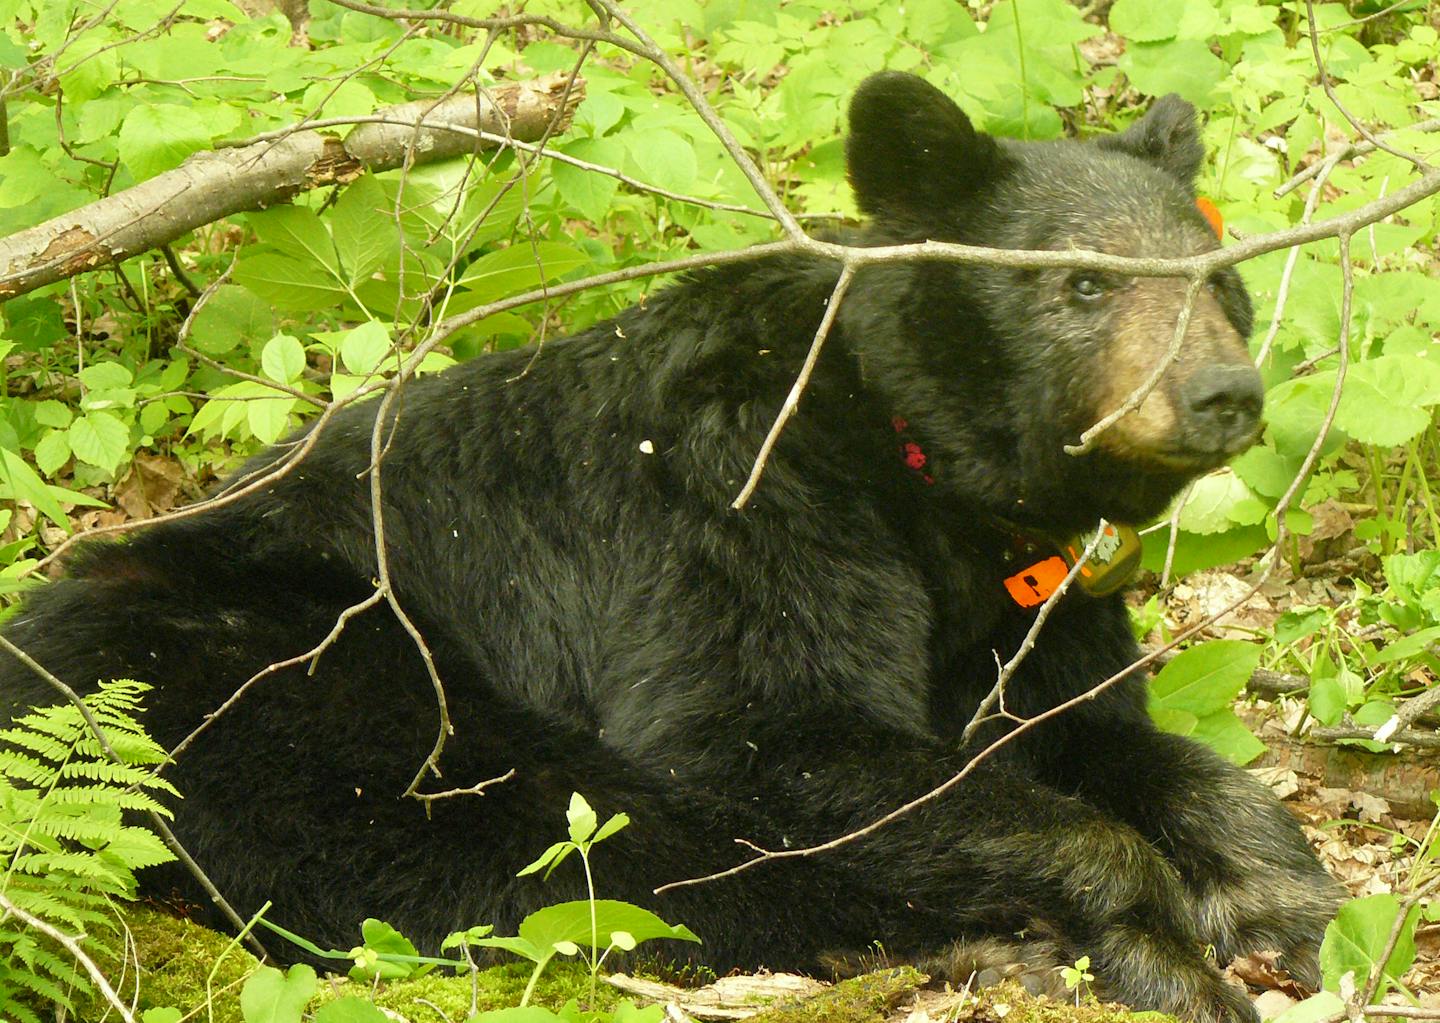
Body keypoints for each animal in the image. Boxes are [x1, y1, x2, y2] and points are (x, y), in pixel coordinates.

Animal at [5, 74, 1342, 1023]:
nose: (1225, 393)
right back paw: (975, 941)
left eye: (1223, 279)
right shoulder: (738, 497)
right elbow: (767, 733)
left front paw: (1274, 884)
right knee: (563, 847)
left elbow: (1099, 734)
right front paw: (1159, 938)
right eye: (1081, 285)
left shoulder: (1028, 601)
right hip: (281, 683)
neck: (919, 468)